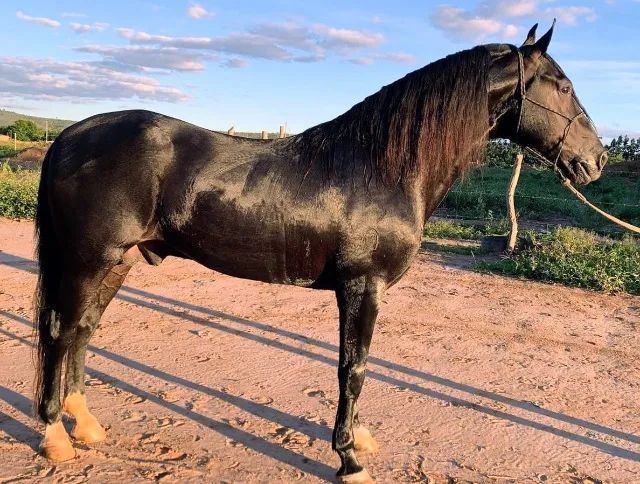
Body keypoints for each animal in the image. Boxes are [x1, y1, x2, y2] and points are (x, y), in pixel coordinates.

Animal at [33, 22, 607, 482]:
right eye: (563, 85)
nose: (597, 160)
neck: (384, 166)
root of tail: (69, 136)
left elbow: (357, 366)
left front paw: (360, 440)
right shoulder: (361, 286)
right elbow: (353, 368)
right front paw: (349, 460)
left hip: (118, 260)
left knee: (83, 330)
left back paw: (86, 425)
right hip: (90, 259)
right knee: (61, 331)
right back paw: (55, 436)